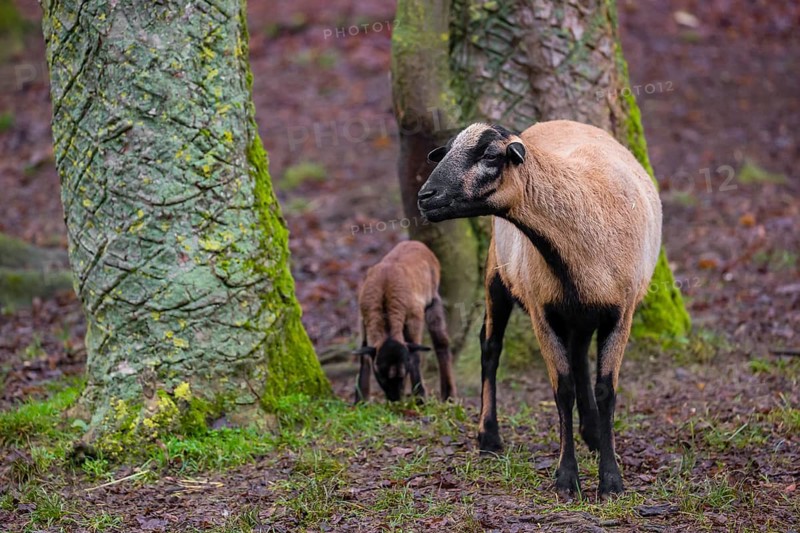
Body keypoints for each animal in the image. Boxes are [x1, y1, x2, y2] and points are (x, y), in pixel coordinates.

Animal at [353, 241, 457, 403]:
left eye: (403, 375)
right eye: (381, 376)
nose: (395, 399)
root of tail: (419, 244)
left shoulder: (414, 316)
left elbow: (415, 357)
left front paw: (420, 398)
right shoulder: (363, 319)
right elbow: (364, 357)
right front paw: (360, 401)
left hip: (433, 300)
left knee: (441, 342)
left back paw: (449, 396)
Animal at [417, 120, 662, 498]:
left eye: (491, 155)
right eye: (446, 151)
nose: (425, 197)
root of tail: (557, 122)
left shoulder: (621, 313)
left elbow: (606, 391)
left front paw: (611, 481)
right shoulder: (542, 313)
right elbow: (563, 390)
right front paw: (566, 478)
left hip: (577, 311)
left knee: (578, 356)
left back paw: (592, 434)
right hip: (497, 273)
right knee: (491, 348)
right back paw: (489, 437)